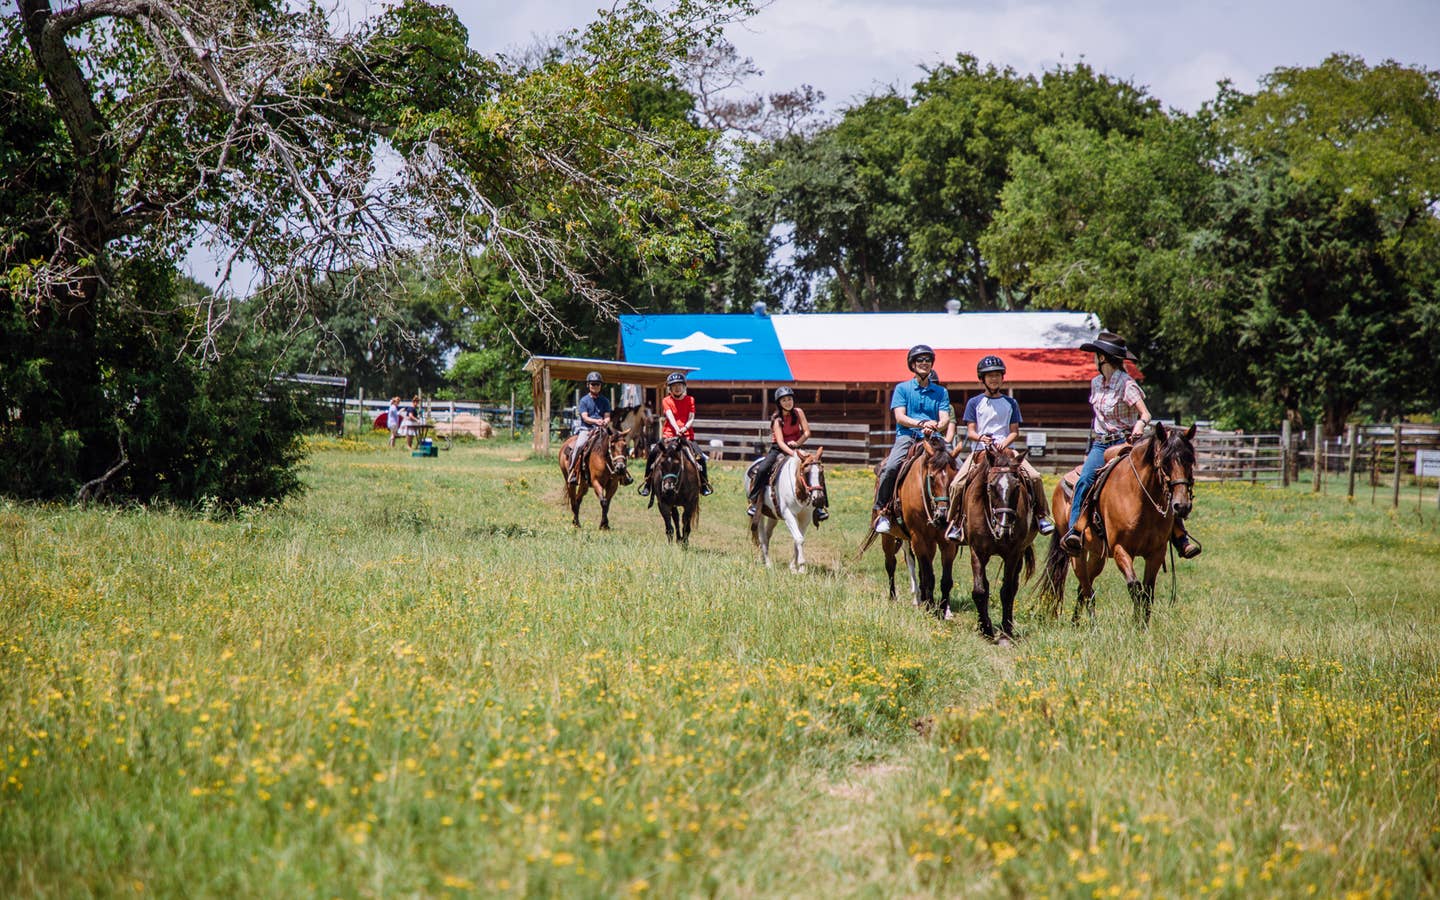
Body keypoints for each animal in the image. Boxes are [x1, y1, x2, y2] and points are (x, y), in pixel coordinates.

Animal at [858, 434, 961, 616]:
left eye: (953, 477)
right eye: (932, 477)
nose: (943, 516)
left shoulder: (945, 542)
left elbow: (945, 579)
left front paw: (944, 609)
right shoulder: (919, 538)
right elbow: (928, 577)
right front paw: (930, 607)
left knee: (914, 565)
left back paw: (920, 598)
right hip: (889, 537)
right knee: (891, 565)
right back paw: (895, 598)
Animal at [961, 443, 1042, 642]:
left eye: (1017, 486)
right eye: (991, 486)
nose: (1004, 530)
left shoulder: (1013, 554)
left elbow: (1007, 591)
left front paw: (1006, 632)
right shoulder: (977, 552)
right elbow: (980, 591)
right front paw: (986, 628)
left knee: (1013, 586)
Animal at [1042, 420, 1198, 624]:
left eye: (1191, 460)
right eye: (1164, 462)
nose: (1182, 506)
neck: (1140, 498)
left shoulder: (1156, 552)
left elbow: (1147, 592)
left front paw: (1143, 625)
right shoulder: (1120, 549)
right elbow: (1134, 586)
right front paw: (1136, 623)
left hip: (1097, 555)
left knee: (1084, 587)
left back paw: (1076, 623)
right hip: (1077, 553)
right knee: (1086, 586)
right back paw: (1092, 624)